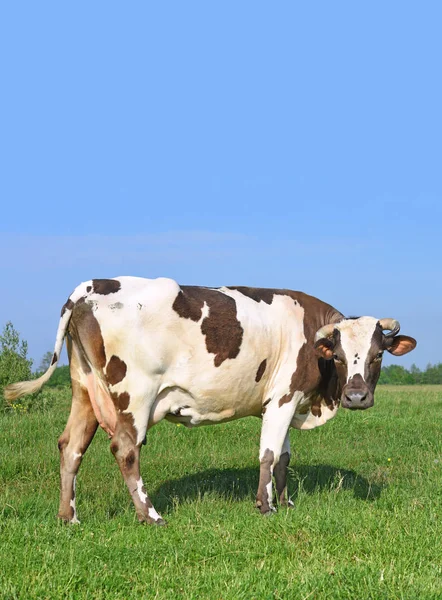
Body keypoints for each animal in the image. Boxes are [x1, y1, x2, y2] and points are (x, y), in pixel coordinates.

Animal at [4, 278, 418, 524]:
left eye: (377, 355)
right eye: (339, 356)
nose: (357, 396)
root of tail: (89, 287)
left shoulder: (284, 401)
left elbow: (284, 457)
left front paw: (286, 504)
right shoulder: (283, 397)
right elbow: (268, 455)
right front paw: (265, 507)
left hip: (85, 390)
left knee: (71, 446)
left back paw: (68, 518)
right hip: (134, 394)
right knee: (125, 449)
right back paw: (150, 515)